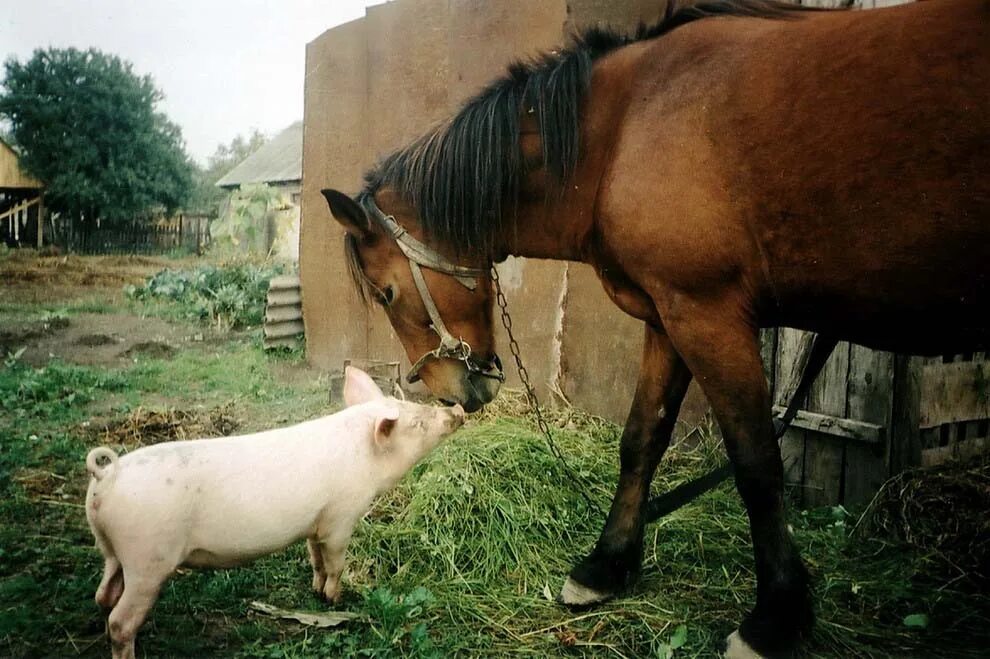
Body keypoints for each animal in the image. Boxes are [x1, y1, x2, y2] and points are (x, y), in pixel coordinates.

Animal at [84, 366, 464, 659]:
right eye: (415, 424)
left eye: (409, 403)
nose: (457, 410)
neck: (365, 458)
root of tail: (108, 475)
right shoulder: (340, 518)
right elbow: (336, 562)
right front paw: (334, 598)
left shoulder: (315, 522)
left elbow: (315, 558)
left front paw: (315, 590)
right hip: (148, 559)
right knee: (120, 620)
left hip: (114, 550)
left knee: (103, 595)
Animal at [322, 2, 988, 656]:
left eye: (385, 293)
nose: (451, 391)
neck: (622, 131)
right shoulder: (669, 319)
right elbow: (641, 438)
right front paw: (606, 566)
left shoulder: (708, 315)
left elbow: (757, 464)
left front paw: (775, 617)